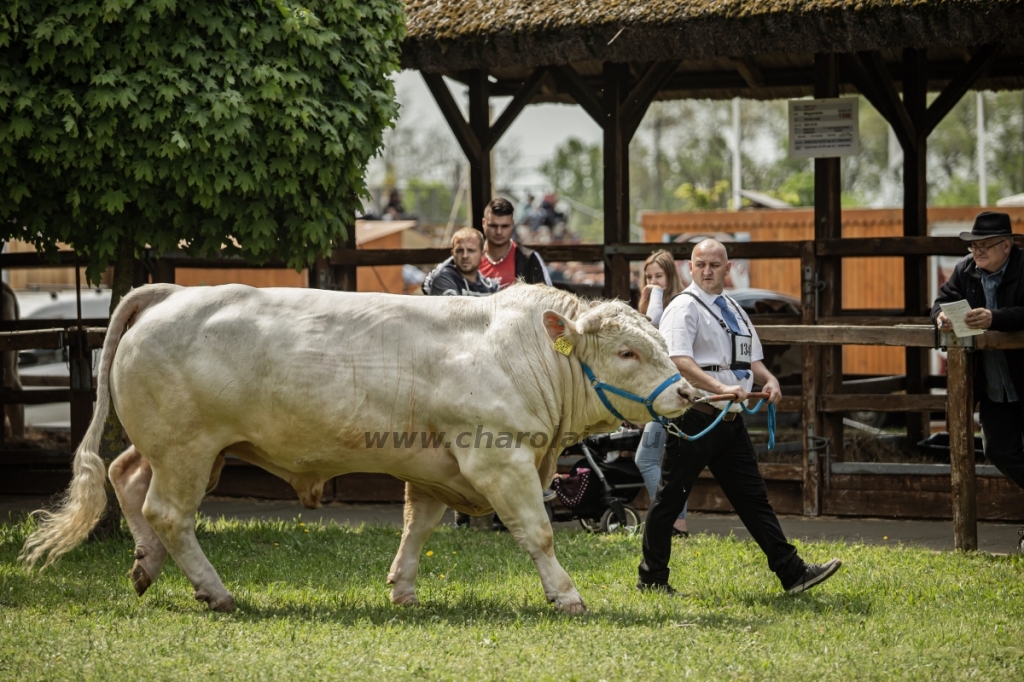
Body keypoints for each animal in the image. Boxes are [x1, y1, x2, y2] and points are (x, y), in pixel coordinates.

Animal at [22, 280, 696, 610]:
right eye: (626, 352)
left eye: (658, 342)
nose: (687, 392)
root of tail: (170, 292)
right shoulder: (497, 456)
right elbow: (539, 532)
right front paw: (566, 594)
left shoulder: (434, 466)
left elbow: (417, 526)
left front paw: (403, 590)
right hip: (187, 447)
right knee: (168, 511)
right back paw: (215, 592)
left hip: (181, 450)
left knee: (127, 478)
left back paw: (146, 567)